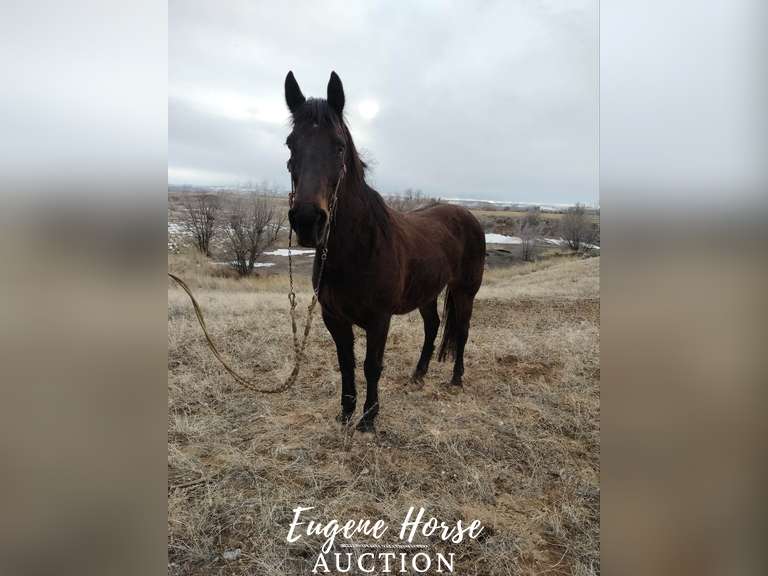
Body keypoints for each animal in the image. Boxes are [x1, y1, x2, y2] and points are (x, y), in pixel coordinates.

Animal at [284, 71, 486, 432]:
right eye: (291, 144)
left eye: (339, 147)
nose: (308, 221)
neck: (357, 249)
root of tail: (467, 215)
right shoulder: (334, 318)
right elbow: (347, 364)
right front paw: (346, 414)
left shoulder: (379, 319)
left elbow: (371, 366)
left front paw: (368, 419)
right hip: (426, 292)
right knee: (433, 326)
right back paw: (418, 375)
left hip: (465, 291)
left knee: (461, 331)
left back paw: (456, 379)